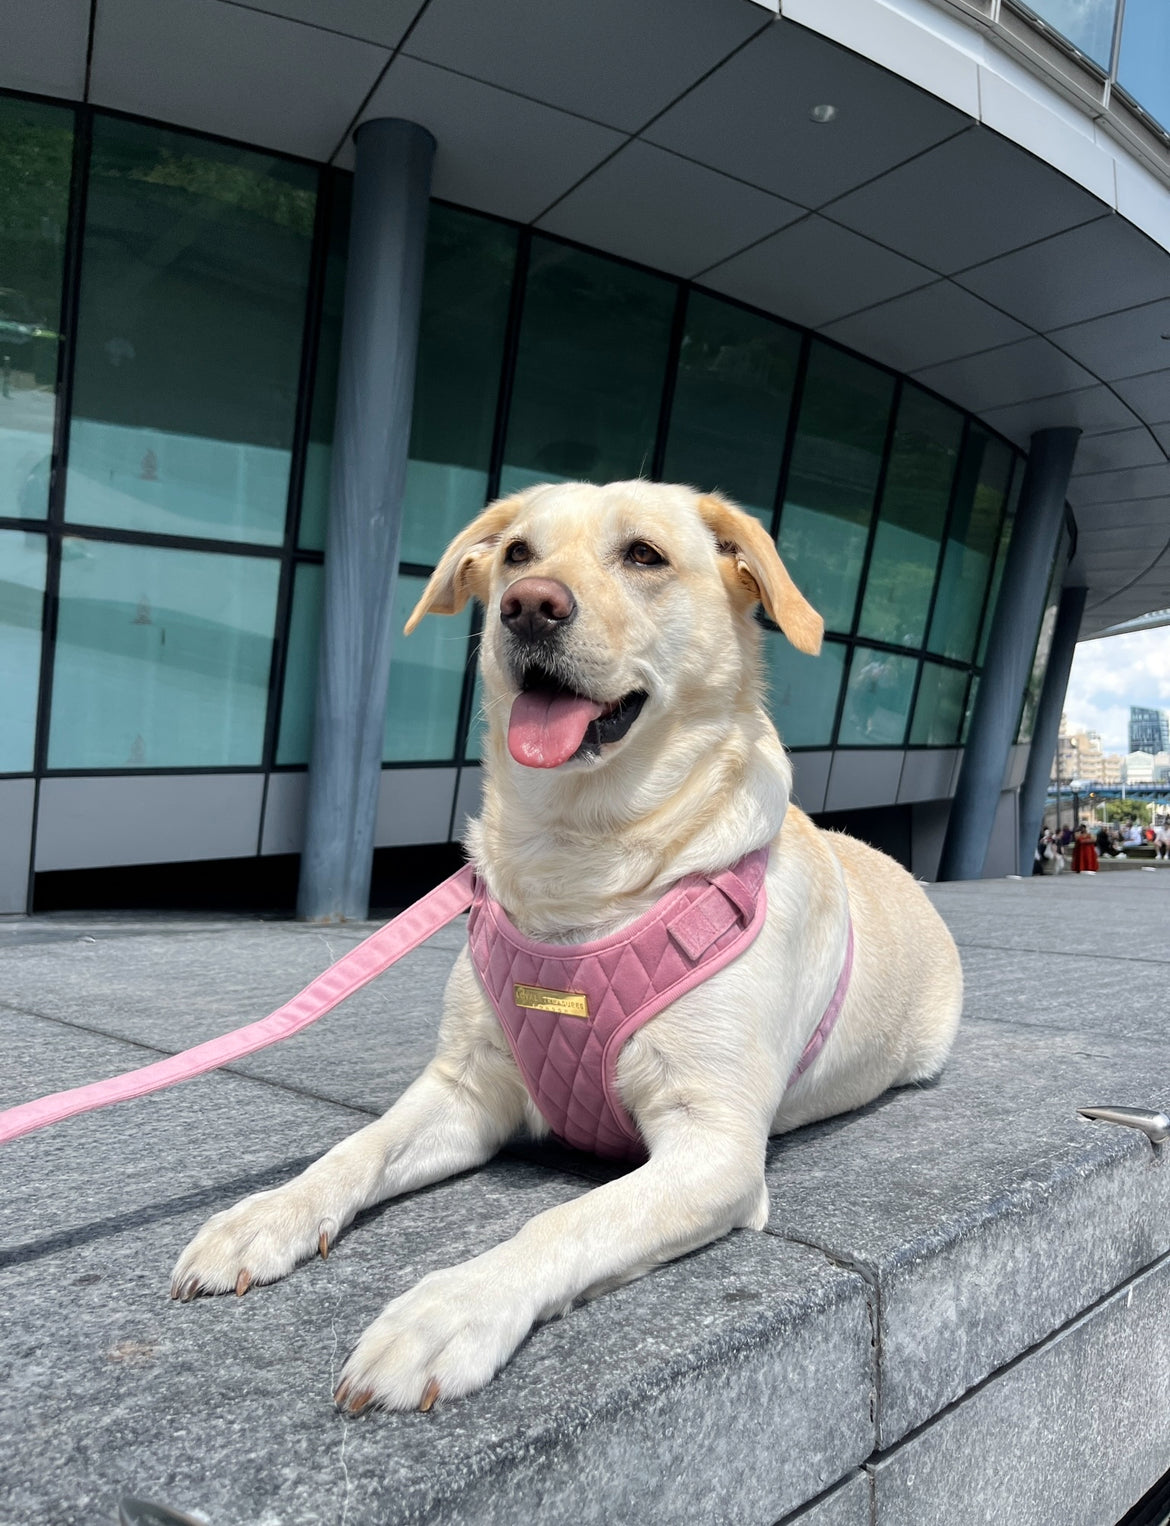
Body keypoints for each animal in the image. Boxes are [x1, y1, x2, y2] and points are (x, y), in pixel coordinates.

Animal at [171, 482, 964, 1410]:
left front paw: (450, 1309)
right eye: (518, 553)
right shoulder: (465, 1089)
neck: (580, 862)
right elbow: (356, 1148)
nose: (529, 605)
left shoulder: (715, 1146)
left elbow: (564, 1219)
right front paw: (267, 1215)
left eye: (645, 555)